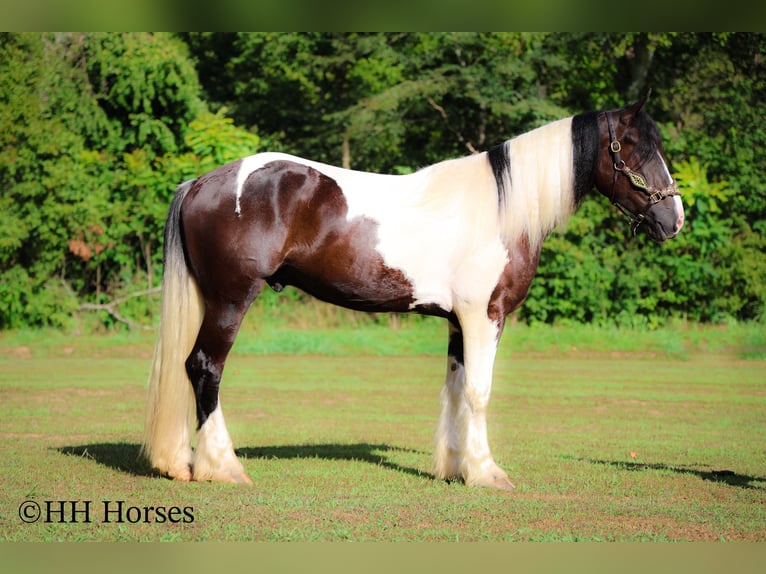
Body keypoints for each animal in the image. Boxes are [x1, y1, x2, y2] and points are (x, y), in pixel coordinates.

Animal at [142, 95, 684, 490]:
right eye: (632, 146)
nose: (674, 218)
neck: (500, 209)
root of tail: (201, 183)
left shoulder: (458, 321)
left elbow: (456, 388)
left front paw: (455, 467)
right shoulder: (485, 316)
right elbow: (479, 391)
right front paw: (487, 473)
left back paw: (182, 462)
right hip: (231, 300)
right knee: (205, 368)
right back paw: (223, 466)